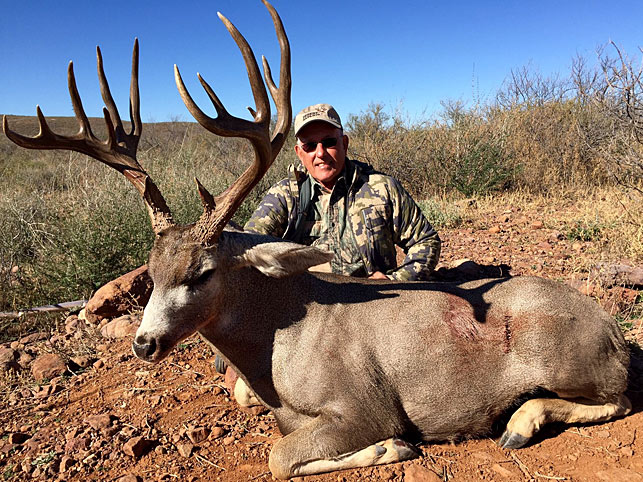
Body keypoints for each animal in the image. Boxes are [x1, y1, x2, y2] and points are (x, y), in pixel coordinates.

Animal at [2, 1, 632, 480]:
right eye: (150, 275)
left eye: (202, 273)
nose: (143, 344)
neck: (279, 348)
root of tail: (614, 330)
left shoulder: (364, 404)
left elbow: (282, 456)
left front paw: (392, 447)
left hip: (569, 359)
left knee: (621, 397)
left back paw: (519, 424)